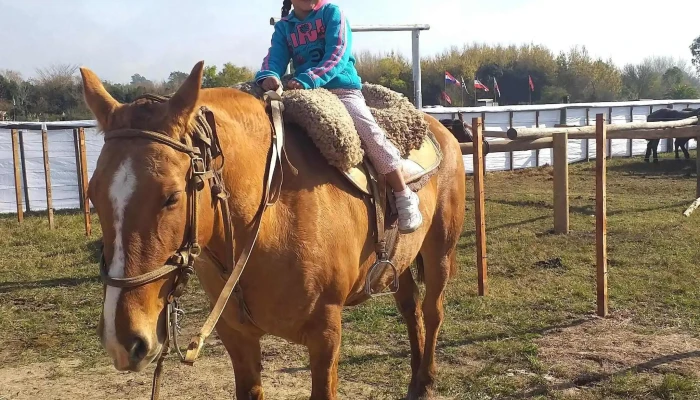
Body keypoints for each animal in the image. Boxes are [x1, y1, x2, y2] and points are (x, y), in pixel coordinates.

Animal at [80, 61, 466, 400]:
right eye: (92, 194)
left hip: (440, 251)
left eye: (171, 197)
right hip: (397, 264)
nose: (123, 340)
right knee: (411, 309)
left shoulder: (326, 336)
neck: (269, 217)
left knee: (432, 311)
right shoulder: (237, 338)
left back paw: (425, 382)